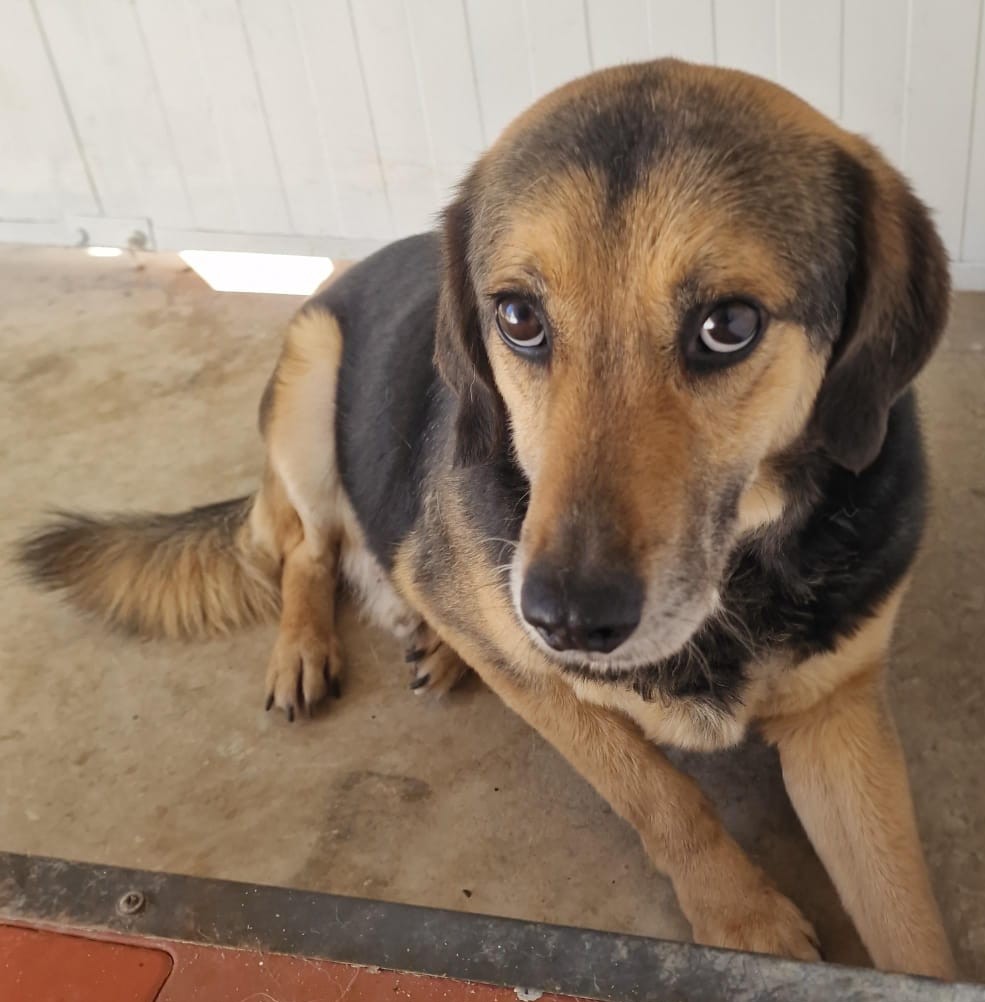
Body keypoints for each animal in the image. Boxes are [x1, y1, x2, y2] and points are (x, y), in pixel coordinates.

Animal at [19, 59, 955, 978]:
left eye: (728, 325)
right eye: (518, 317)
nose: (566, 621)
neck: (740, 581)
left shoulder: (839, 714)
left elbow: (906, 915)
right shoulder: (541, 684)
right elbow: (658, 794)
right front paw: (743, 915)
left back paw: (435, 640)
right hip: (311, 384)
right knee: (309, 553)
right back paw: (307, 646)